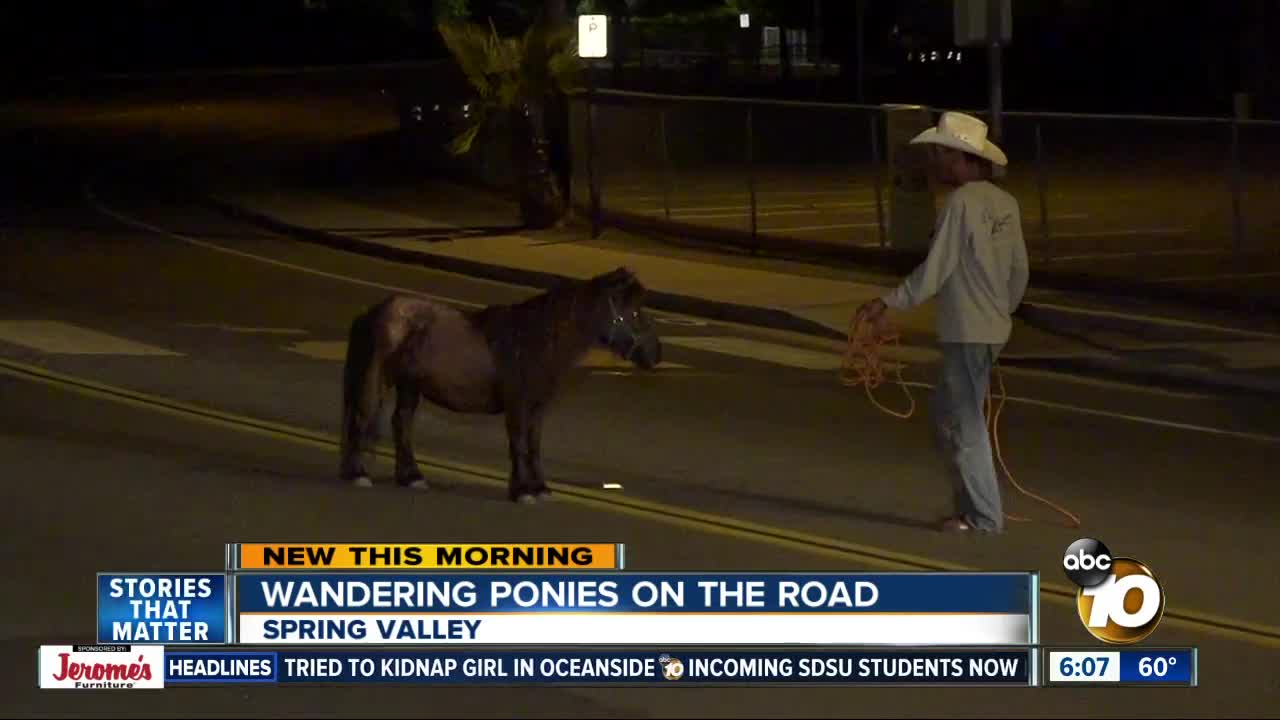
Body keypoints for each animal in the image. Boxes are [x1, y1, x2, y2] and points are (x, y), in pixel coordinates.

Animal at [335, 263, 665, 499]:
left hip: (409, 386)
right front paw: (522, 491)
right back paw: (359, 474)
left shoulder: (537, 407)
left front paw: (539, 487)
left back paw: (411, 477)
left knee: (401, 423)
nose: (656, 353)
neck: (534, 339)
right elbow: (518, 444)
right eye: (635, 312)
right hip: (378, 377)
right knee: (362, 416)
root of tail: (373, 311)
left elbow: (534, 444)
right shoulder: (517, 404)